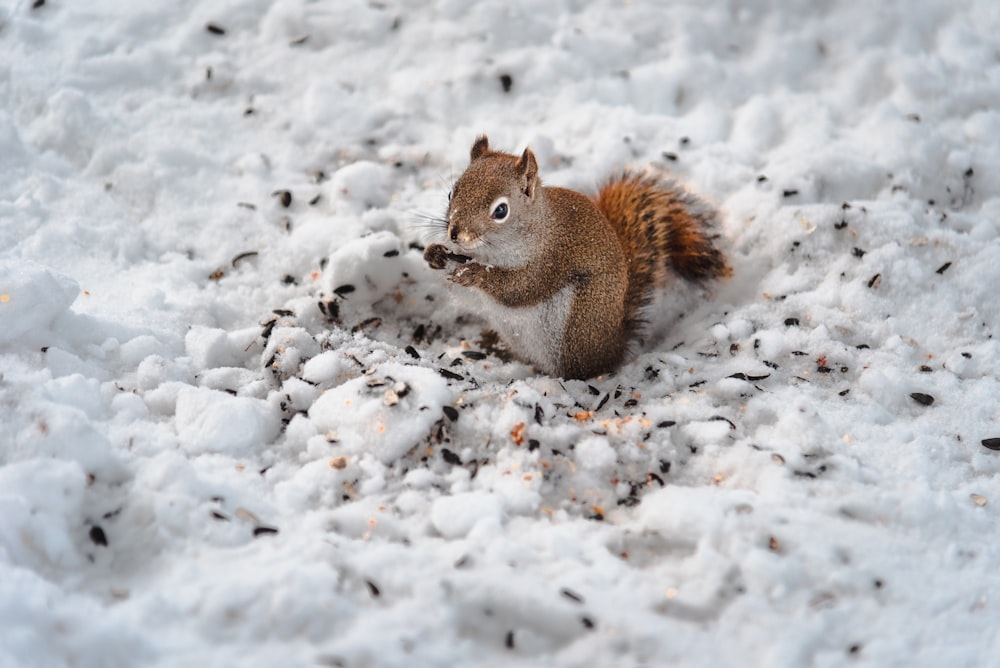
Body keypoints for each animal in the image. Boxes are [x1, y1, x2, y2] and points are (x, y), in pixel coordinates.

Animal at [422, 134, 728, 380]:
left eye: (500, 211)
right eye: (451, 193)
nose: (455, 234)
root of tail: (614, 346)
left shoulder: (551, 260)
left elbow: (519, 289)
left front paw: (476, 274)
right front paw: (435, 254)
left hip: (577, 326)